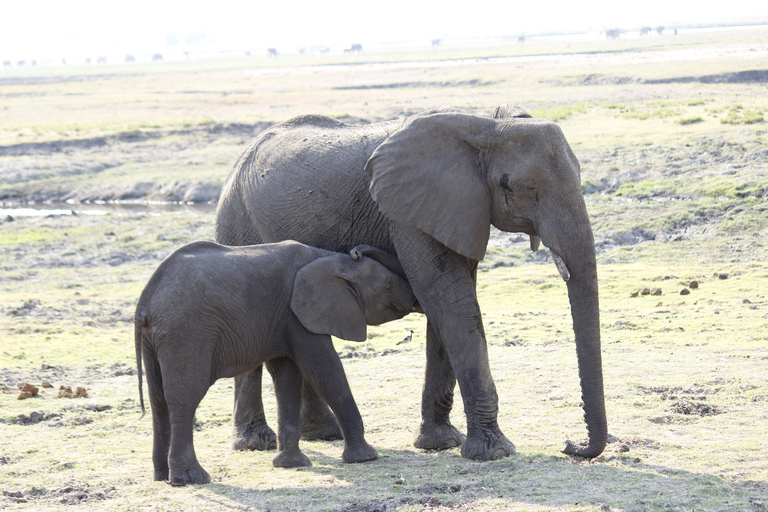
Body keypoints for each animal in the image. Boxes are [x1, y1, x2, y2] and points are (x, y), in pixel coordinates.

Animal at [135, 240, 416, 484]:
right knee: (185, 398)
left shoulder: (285, 319)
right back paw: (192, 480)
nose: (356, 250)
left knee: (158, 401)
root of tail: (144, 303)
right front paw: (366, 458)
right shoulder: (299, 315)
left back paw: (161, 476)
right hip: (186, 333)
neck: (328, 258)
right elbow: (324, 370)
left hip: (158, 339)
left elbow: (288, 377)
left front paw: (291, 464)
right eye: (388, 286)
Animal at [214, 104, 608, 460]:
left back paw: (323, 434)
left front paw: (440, 443)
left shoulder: (455, 210)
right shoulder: (406, 213)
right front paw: (494, 452)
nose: (570, 445)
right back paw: (255, 442)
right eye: (524, 186)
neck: (485, 126)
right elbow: (449, 298)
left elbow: (451, 304)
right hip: (237, 225)